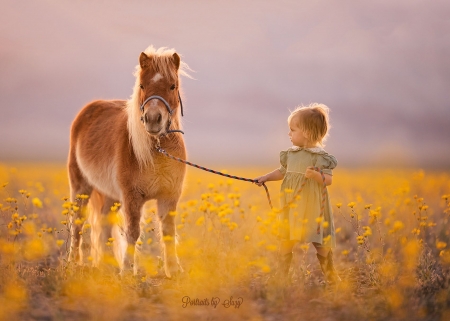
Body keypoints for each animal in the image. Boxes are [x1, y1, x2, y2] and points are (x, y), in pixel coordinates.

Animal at [67, 45, 190, 278]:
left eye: (173, 86)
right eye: (142, 85)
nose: (153, 119)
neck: (157, 150)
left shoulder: (169, 196)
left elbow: (168, 232)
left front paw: (174, 270)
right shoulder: (132, 197)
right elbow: (132, 232)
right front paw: (126, 272)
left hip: (110, 195)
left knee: (104, 223)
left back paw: (106, 265)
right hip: (81, 188)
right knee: (77, 222)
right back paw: (73, 262)